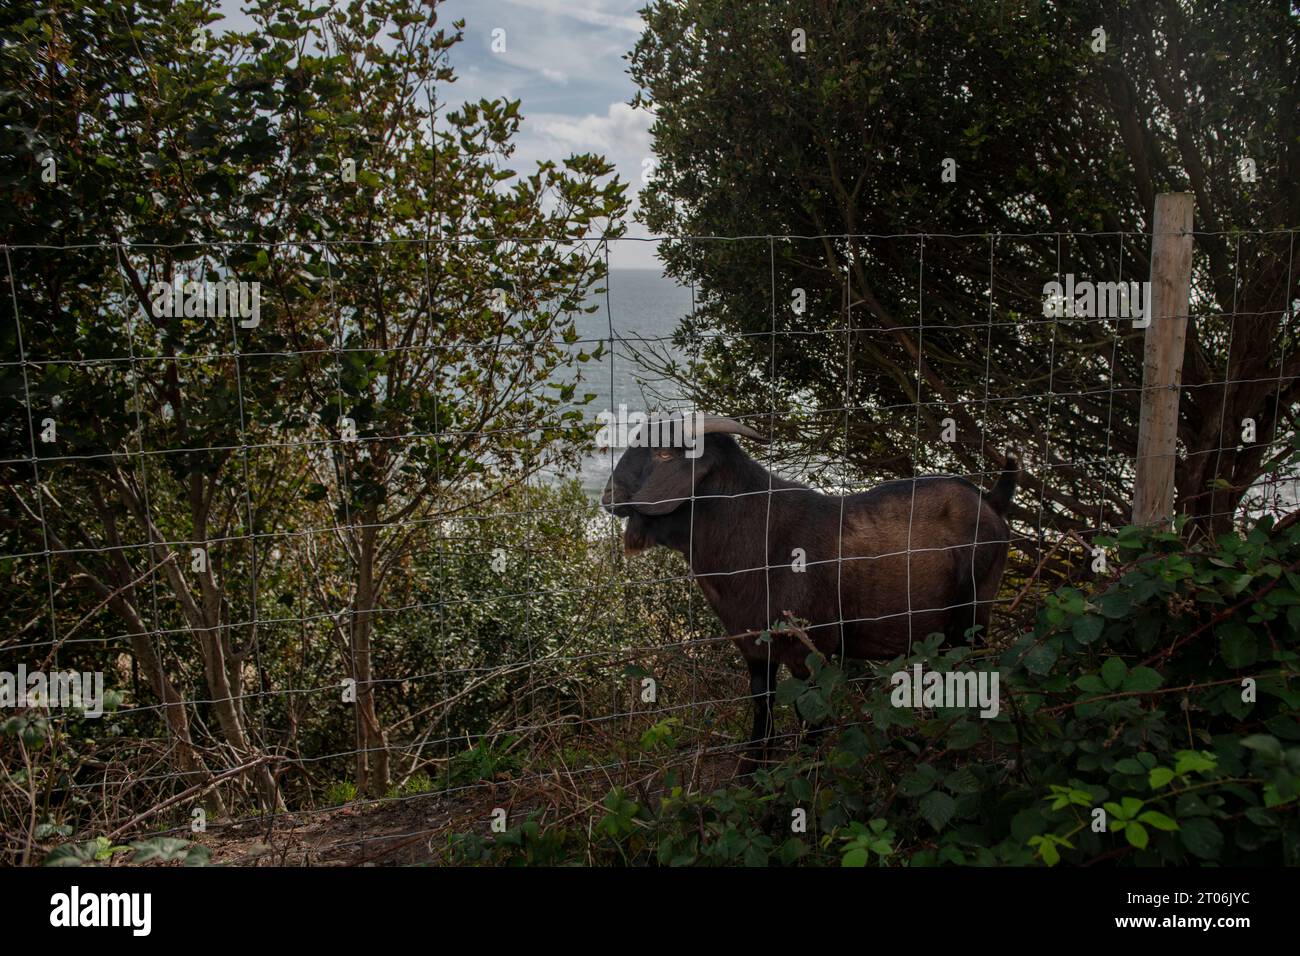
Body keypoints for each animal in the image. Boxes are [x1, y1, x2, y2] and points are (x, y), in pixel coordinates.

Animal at [598, 416, 1013, 775]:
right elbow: (761, 703)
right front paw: (751, 772)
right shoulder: (753, 646)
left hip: (975, 609)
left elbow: (810, 714)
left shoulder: (811, 648)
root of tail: (990, 499)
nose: (608, 496)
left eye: (665, 454)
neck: (760, 537)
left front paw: (811, 772)